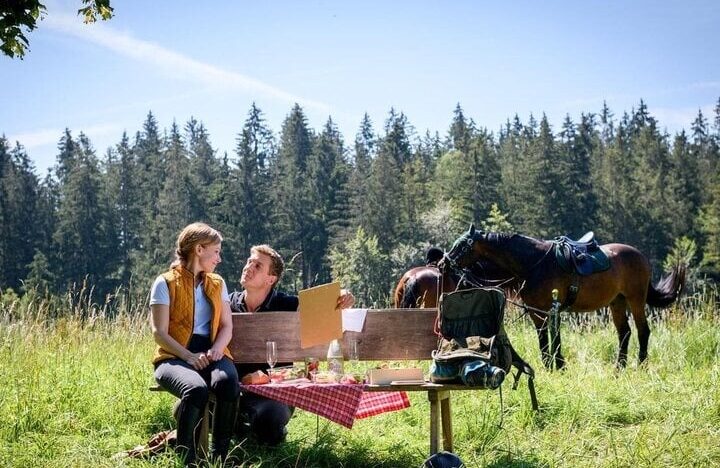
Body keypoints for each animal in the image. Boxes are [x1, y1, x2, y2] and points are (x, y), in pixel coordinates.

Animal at [444, 224, 688, 370]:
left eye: (462, 245)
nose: (444, 262)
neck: (534, 264)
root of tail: (640, 257)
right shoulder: (536, 312)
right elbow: (544, 340)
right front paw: (549, 365)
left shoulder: (551, 308)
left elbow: (555, 338)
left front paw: (559, 365)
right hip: (617, 302)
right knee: (624, 333)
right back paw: (619, 367)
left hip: (636, 299)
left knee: (642, 330)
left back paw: (641, 365)